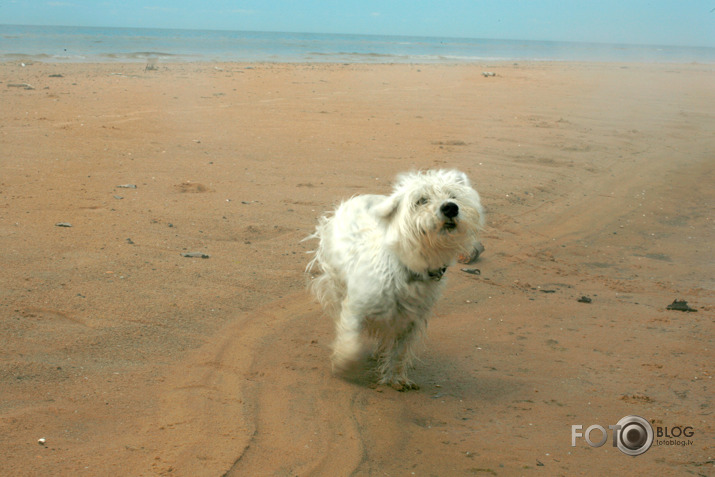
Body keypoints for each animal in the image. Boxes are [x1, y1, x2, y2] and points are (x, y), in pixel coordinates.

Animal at [304, 169, 484, 388]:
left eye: (453, 196)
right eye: (421, 200)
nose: (450, 208)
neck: (408, 265)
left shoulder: (410, 320)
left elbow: (399, 351)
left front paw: (397, 378)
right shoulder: (357, 306)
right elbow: (350, 339)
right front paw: (344, 365)